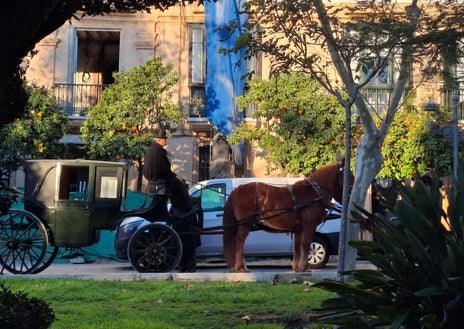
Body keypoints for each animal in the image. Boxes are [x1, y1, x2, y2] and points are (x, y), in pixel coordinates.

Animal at [222, 159, 352, 272]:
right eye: (349, 174)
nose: (349, 197)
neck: (314, 193)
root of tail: (237, 190)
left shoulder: (299, 229)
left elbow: (298, 246)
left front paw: (297, 267)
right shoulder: (309, 226)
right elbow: (306, 244)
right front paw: (305, 267)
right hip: (245, 224)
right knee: (239, 241)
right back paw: (241, 267)